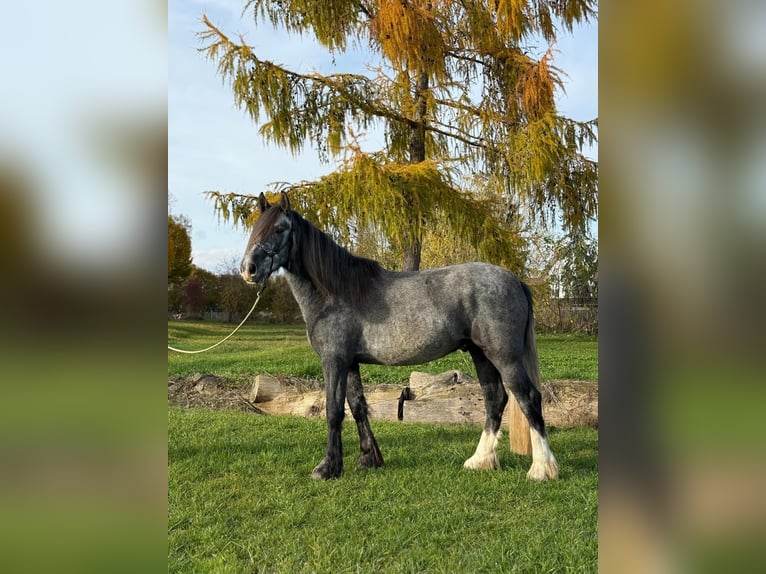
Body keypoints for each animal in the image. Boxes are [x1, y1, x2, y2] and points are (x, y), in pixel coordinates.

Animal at [240, 192, 558, 481]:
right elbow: (357, 407)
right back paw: (480, 461)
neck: (335, 292)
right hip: (481, 355)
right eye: (255, 228)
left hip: (504, 356)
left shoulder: (334, 361)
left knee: (529, 398)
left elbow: (334, 411)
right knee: (495, 399)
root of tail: (515, 280)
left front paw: (327, 468)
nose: (248, 269)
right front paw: (369, 458)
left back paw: (541, 469)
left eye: (279, 229)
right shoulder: (350, 362)